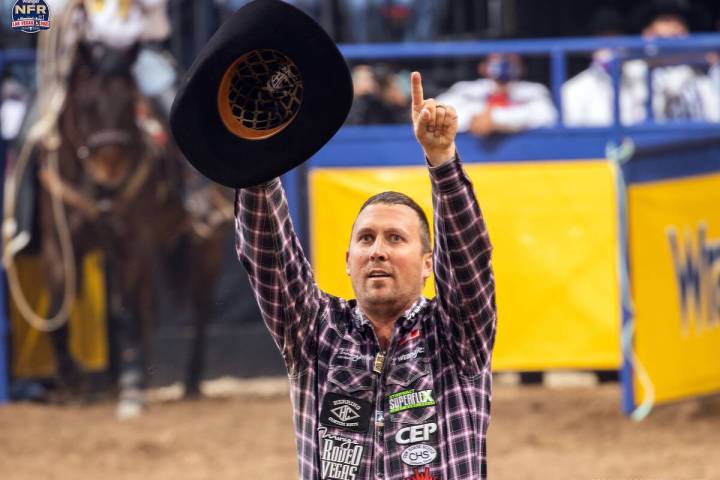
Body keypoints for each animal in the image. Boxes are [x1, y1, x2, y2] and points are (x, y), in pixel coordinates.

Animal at [33, 40, 231, 416]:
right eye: (86, 103)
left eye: (130, 103)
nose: (111, 171)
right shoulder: (59, 246)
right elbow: (57, 312)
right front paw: (72, 378)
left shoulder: (131, 244)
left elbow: (124, 314)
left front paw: (131, 388)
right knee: (148, 306)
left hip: (207, 243)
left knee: (199, 307)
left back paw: (189, 382)